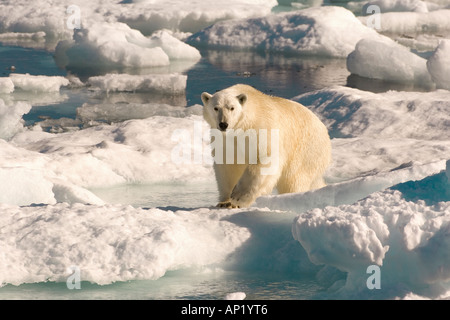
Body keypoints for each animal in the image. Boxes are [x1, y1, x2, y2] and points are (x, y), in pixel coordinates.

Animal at [200, 84, 330, 209]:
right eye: (216, 108)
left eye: (232, 108)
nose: (223, 124)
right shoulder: (225, 140)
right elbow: (227, 165)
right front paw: (225, 202)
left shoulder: (261, 129)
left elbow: (264, 159)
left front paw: (238, 197)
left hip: (305, 151)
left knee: (294, 180)